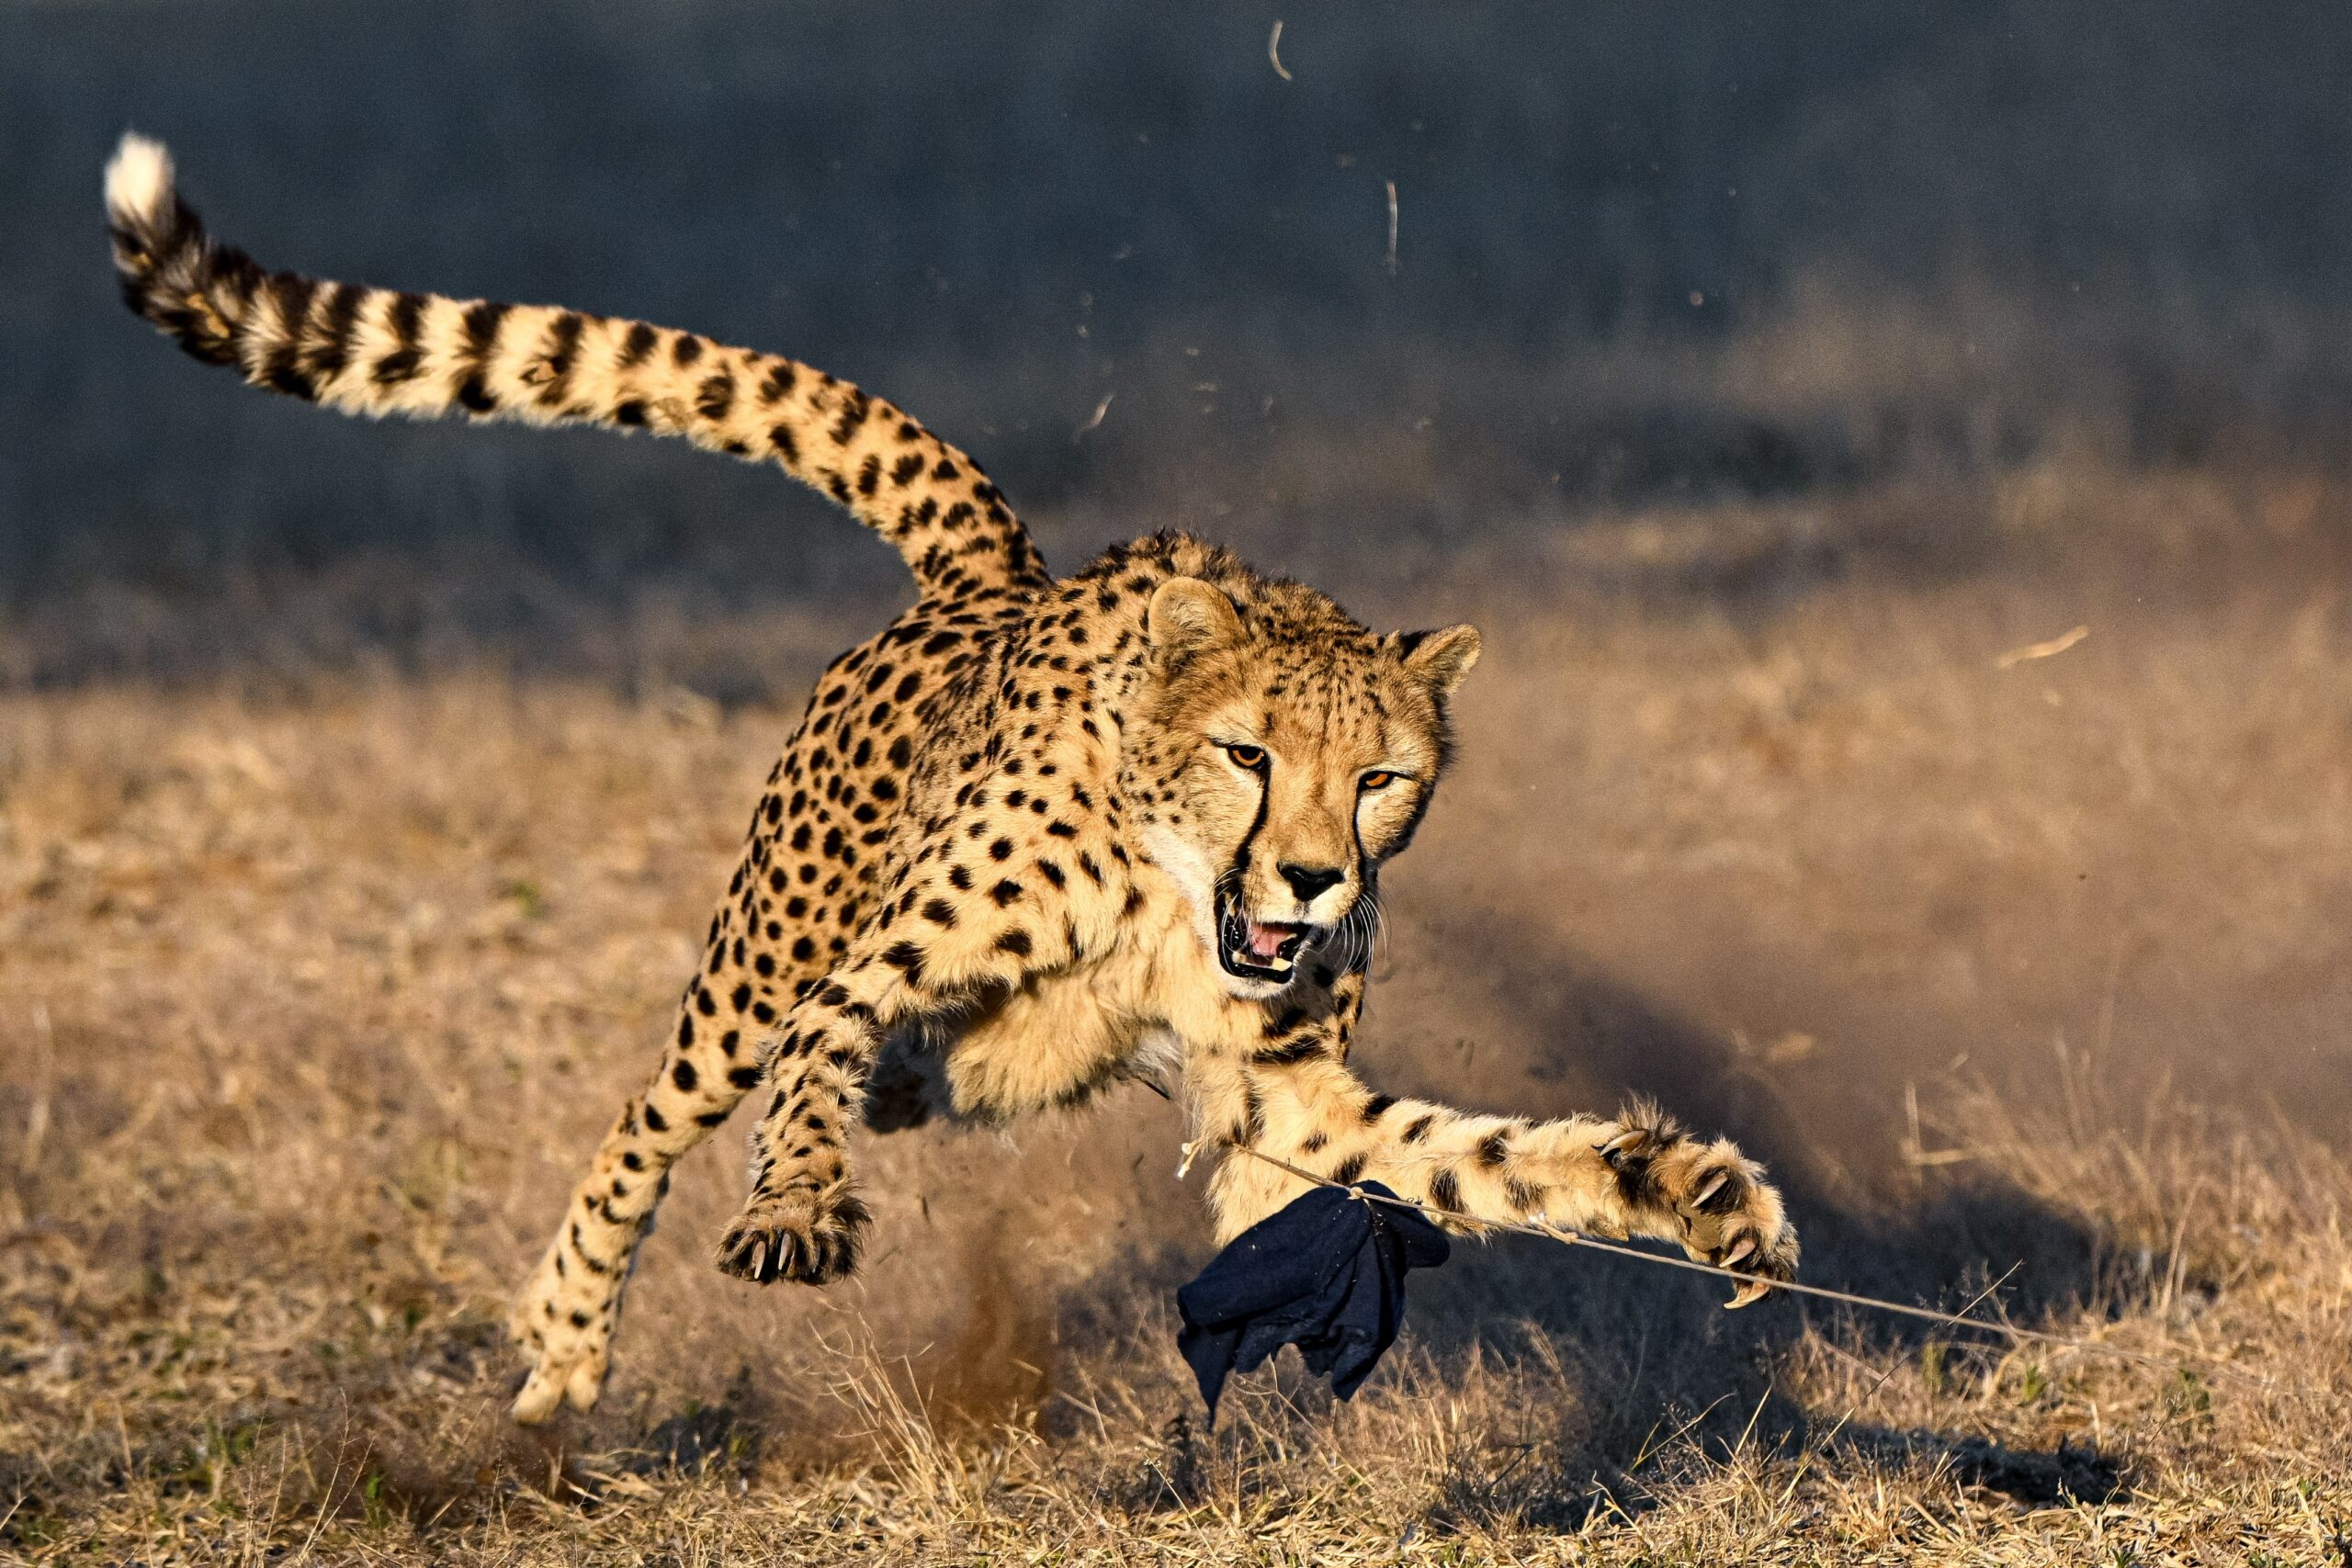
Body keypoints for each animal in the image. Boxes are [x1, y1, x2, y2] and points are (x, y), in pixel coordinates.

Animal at [105, 133, 1799, 1425]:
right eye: (1251, 755)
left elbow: (1480, 1155)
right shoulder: (864, 976)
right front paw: (796, 1208)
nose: (1316, 875)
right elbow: (814, 1055)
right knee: (651, 1120)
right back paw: (569, 1336)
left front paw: (1688, 1190)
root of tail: (995, 579)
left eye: (1381, 778)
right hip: (753, 962)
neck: (1175, 890)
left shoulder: (1287, 1088)